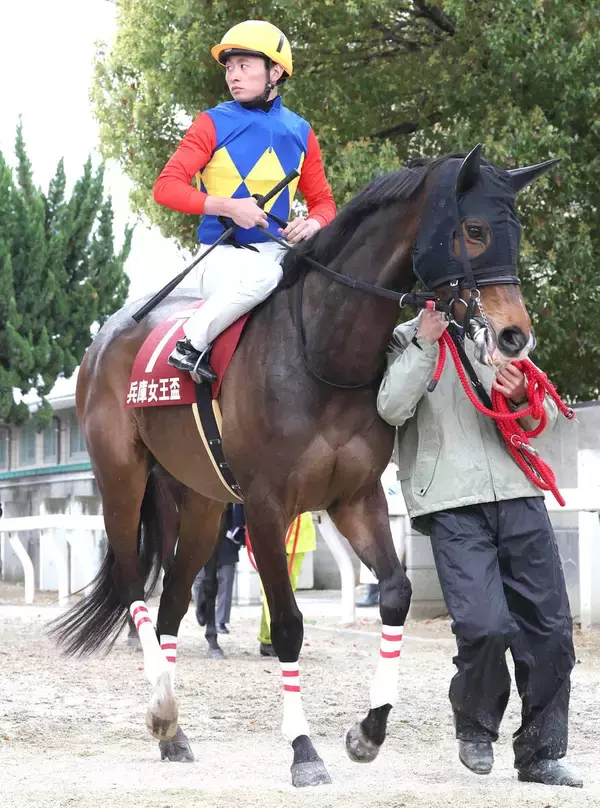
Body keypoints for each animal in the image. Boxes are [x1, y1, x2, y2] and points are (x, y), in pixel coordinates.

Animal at [49, 145, 558, 786]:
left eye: (516, 232)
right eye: (474, 230)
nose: (516, 337)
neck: (322, 351)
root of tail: (106, 339)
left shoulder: (356, 497)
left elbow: (395, 593)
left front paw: (367, 734)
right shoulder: (267, 508)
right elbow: (289, 623)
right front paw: (304, 752)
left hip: (201, 504)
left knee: (171, 603)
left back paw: (174, 731)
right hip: (121, 481)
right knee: (130, 582)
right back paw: (161, 710)